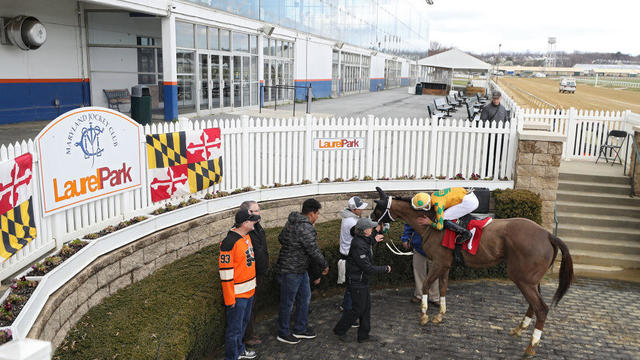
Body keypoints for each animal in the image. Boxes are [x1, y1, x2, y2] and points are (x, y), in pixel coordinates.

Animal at [370, 187, 576, 356]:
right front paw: (439, 315)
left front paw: (424, 315)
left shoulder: (438, 262)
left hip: (522, 279)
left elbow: (426, 285)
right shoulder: (445, 264)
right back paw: (519, 329)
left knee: (541, 308)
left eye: (378, 208)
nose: (371, 222)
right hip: (531, 280)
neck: (431, 226)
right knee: (534, 305)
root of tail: (548, 235)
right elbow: (443, 288)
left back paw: (531, 347)